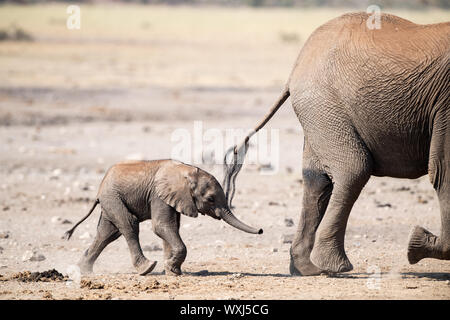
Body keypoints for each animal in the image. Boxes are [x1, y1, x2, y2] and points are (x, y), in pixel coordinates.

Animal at [64, 160, 262, 276]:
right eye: (210, 199)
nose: (261, 230)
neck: (186, 171)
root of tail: (100, 187)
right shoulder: (158, 195)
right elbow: (161, 226)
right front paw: (171, 268)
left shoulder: (175, 198)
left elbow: (171, 227)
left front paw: (172, 271)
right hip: (112, 197)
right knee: (129, 225)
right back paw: (146, 268)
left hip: (111, 199)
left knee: (107, 233)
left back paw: (82, 271)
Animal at [223, 12, 448, 276]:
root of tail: (296, 67)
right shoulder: (446, 102)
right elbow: (443, 171)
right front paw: (416, 245)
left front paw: (417, 244)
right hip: (325, 105)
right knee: (353, 169)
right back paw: (336, 267)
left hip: (320, 110)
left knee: (317, 179)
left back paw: (307, 269)